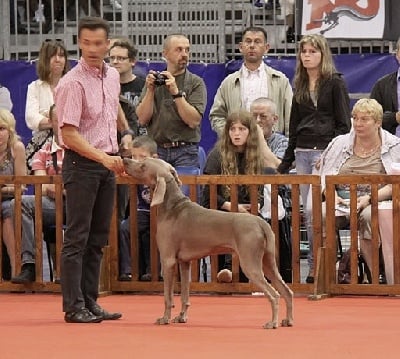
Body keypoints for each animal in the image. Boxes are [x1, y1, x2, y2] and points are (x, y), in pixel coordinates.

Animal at [122, 158, 294, 330]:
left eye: (143, 165)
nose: (125, 160)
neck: (172, 206)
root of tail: (260, 222)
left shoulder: (168, 261)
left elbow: (167, 297)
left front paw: (165, 318)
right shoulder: (184, 263)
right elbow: (185, 295)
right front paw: (181, 317)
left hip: (250, 264)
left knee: (274, 294)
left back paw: (272, 322)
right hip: (268, 262)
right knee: (286, 291)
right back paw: (288, 320)